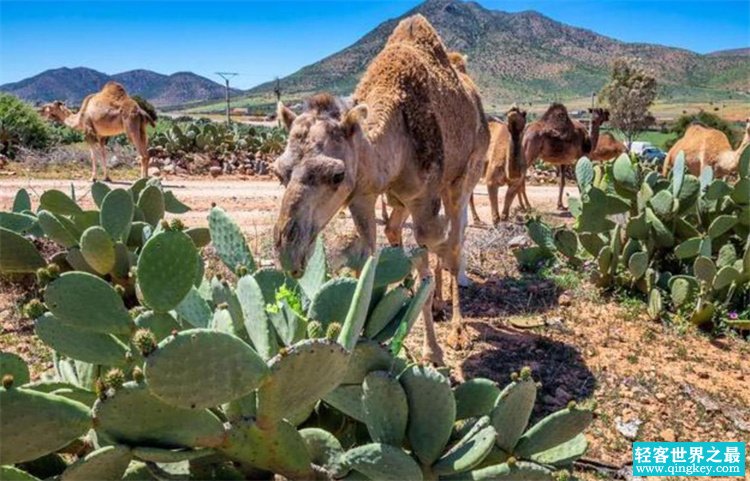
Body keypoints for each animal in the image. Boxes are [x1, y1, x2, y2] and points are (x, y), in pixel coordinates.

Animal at [274, 15, 490, 364]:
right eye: (279, 172)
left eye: (336, 174)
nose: (288, 251)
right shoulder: (365, 194)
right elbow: (373, 256)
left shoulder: (423, 197)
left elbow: (430, 254)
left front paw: (433, 351)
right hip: (404, 200)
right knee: (403, 231)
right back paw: (440, 303)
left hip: (466, 175)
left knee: (456, 236)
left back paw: (457, 327)